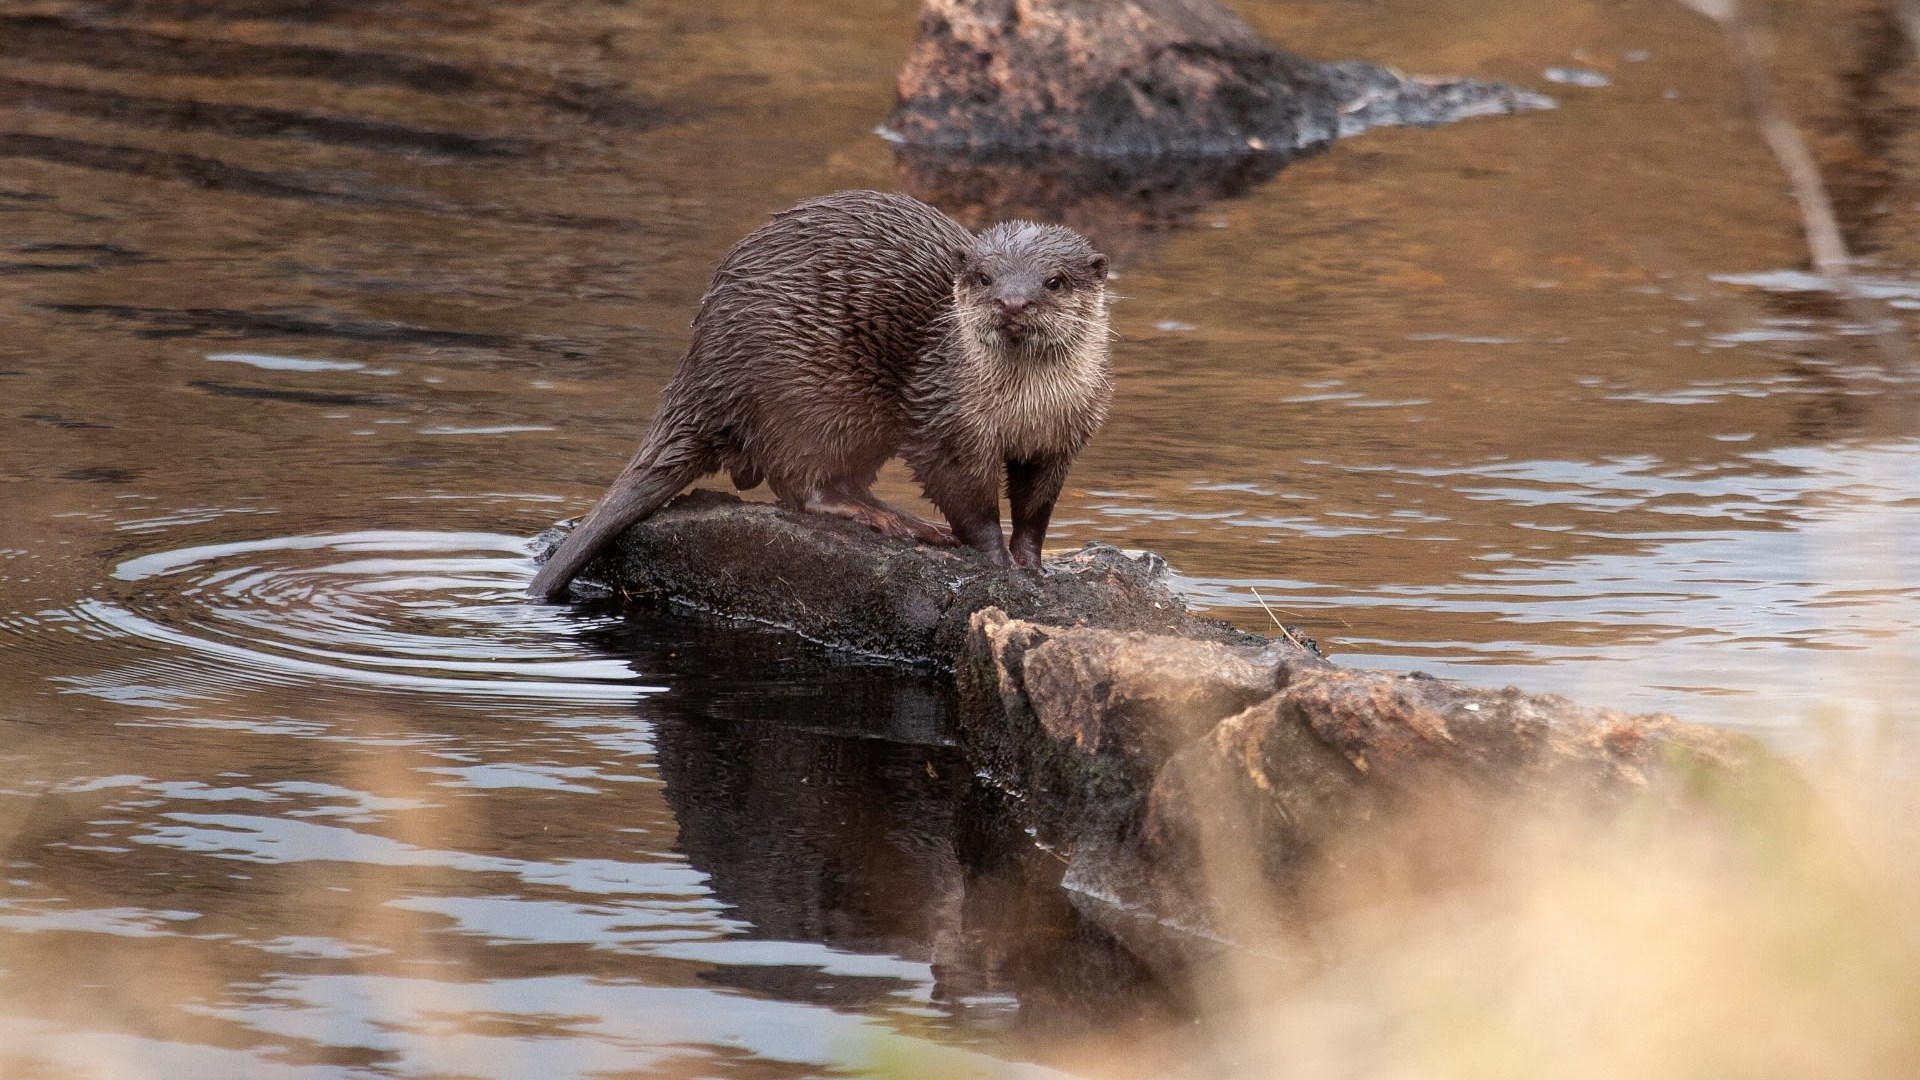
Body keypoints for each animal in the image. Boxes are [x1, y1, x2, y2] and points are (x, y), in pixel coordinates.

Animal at [528, 190, 1110, 602]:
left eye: (1054, 281)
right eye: (985, 277)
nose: (1012, 302)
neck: (1025, 410)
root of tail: (703, 366)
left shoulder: (1061, 439)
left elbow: (1036, 508)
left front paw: (1034, 564)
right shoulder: (943, 420)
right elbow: (968, 500)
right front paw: (996, 562)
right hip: (804, 397)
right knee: (799, 483)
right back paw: (891, 520)